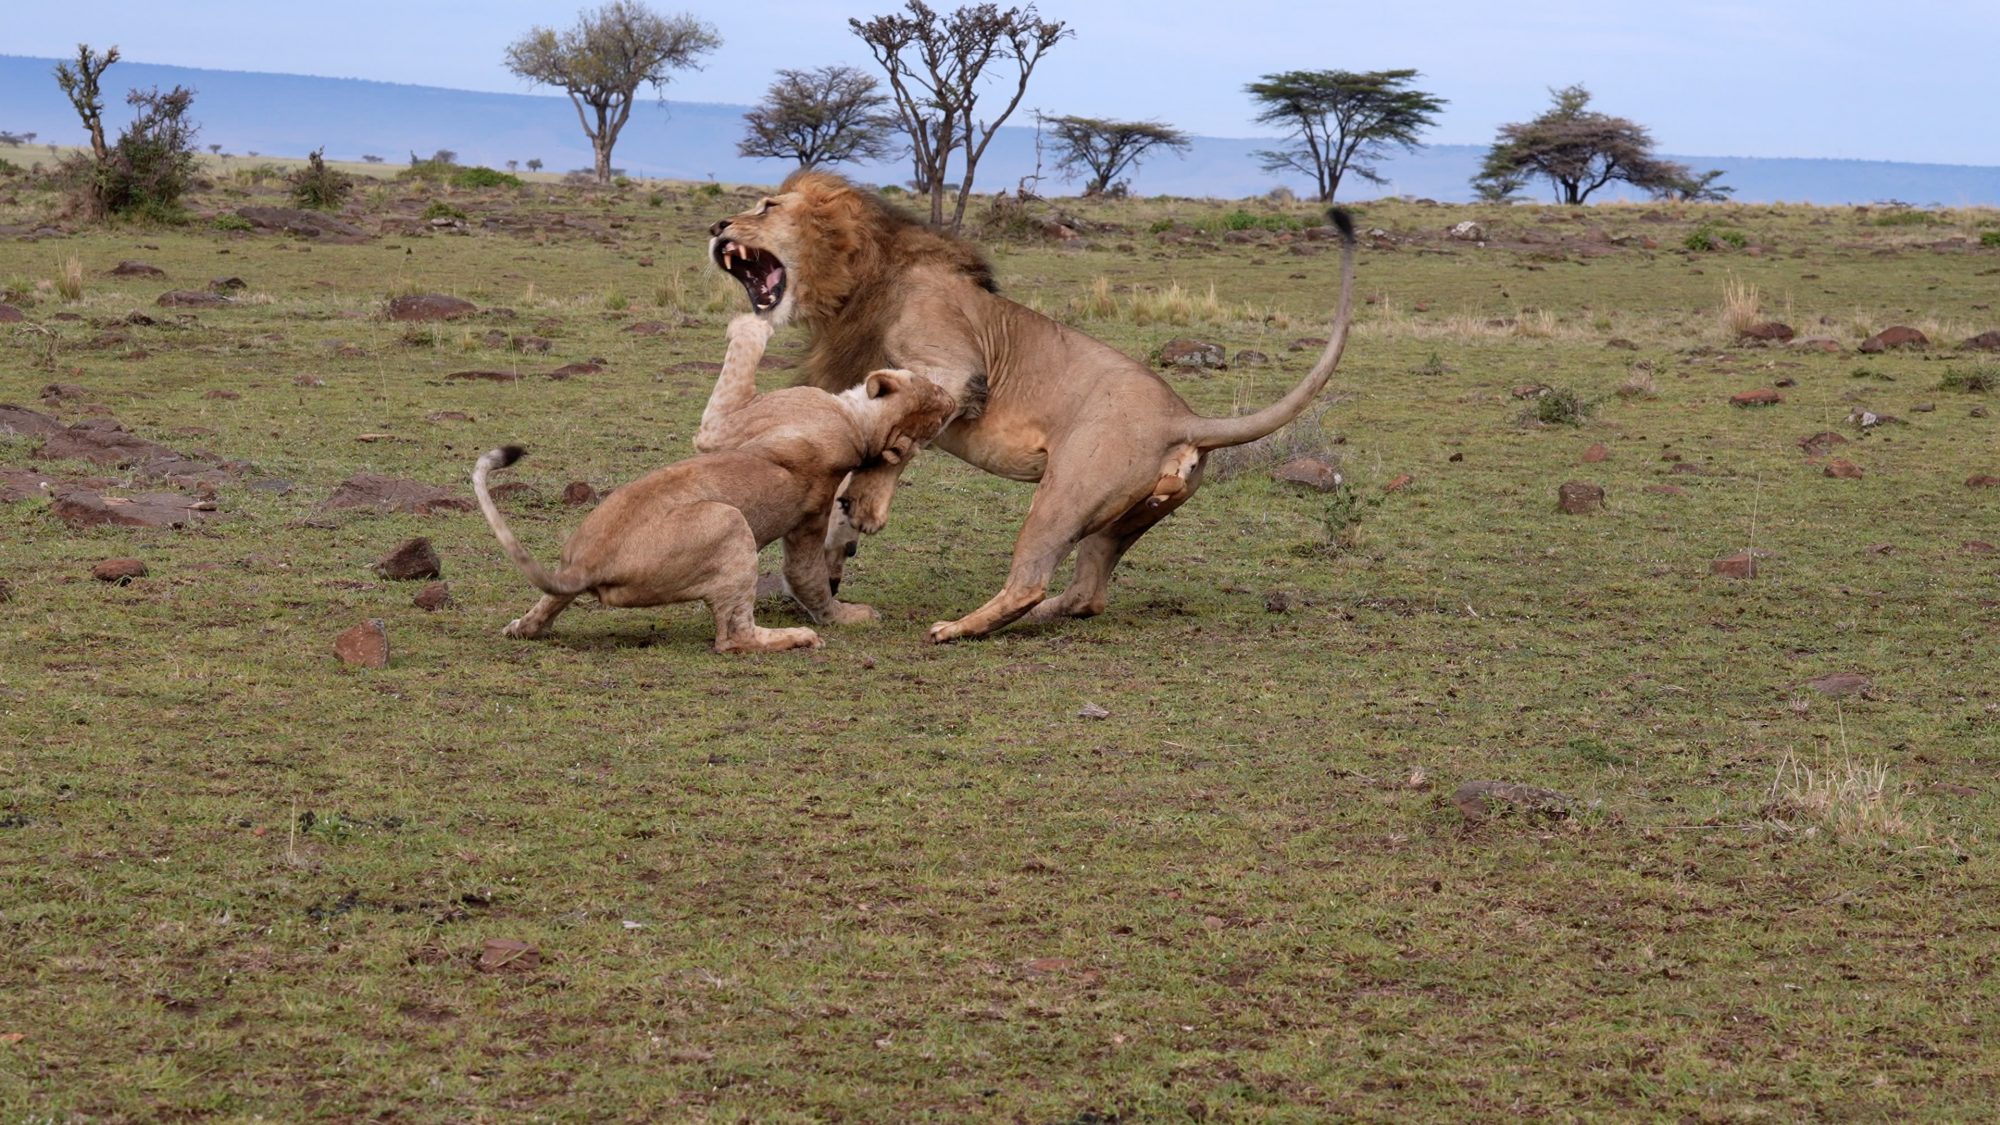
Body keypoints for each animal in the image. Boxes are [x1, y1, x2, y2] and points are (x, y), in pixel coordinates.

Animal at [476, 312, 960, 648]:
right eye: (934, 394)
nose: (955, 400)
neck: (860, 430)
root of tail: (586, 568)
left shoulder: (721, 428)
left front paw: (754, 322)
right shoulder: (808, 516)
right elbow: (806, 576)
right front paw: (843, 614)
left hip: (727, 523)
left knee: (733, 637)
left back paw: (795, 638)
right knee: (541, 613)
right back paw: (521, 626)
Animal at [708, 167, 1360, 640]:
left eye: (767, 207)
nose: (717, 224)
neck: (859, 281)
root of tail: (1186, 417)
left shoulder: (955, 369)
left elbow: (901, 439)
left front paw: (867, 508)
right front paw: (838, 553)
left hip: (1068, 490)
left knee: (1031, 577)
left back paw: (958, 628)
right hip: (1123, 518)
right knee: (1087, 593)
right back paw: (1034, 619)